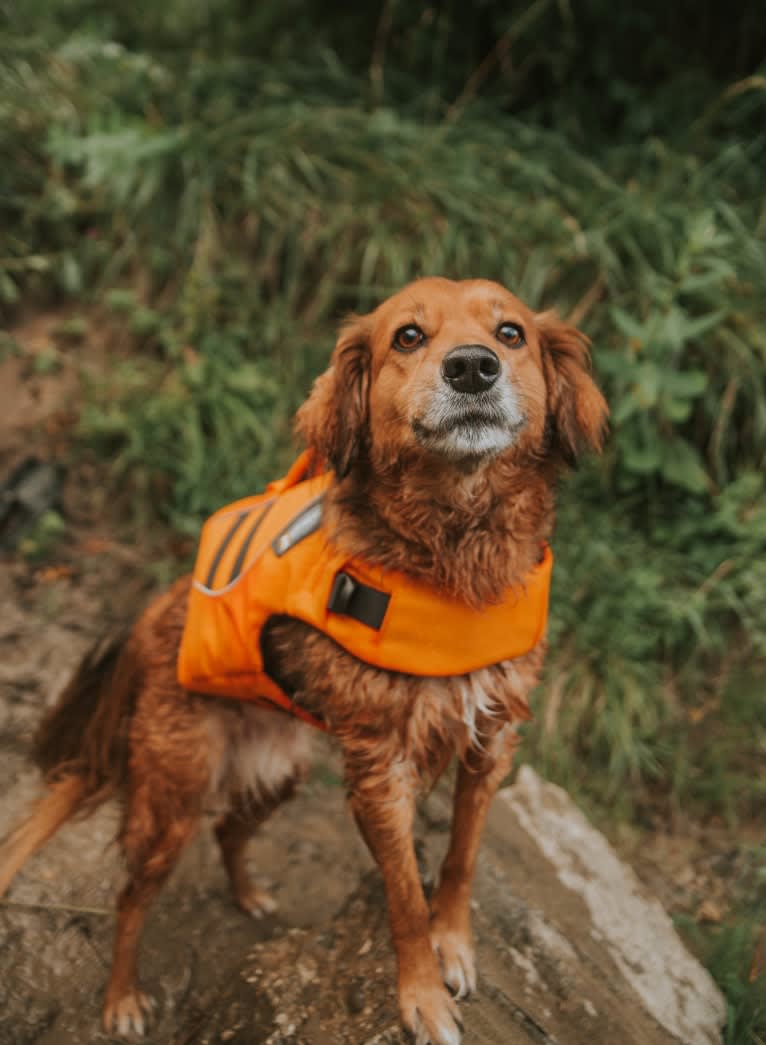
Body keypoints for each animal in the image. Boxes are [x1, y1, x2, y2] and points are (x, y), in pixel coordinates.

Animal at [1, 277, 610, 1045]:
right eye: (408, 336)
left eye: (510, 333)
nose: (472, 367)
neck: (457, 552)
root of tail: (151, 615)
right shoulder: (381, 771)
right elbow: (404, 896)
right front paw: (422, 996)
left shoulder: (492, 737)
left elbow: (461, 858)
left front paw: (456, 945)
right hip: (173, 798)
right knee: (131, 894)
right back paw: (121, 997)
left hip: (279, 770)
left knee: (230, 828)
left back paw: (250, 895)